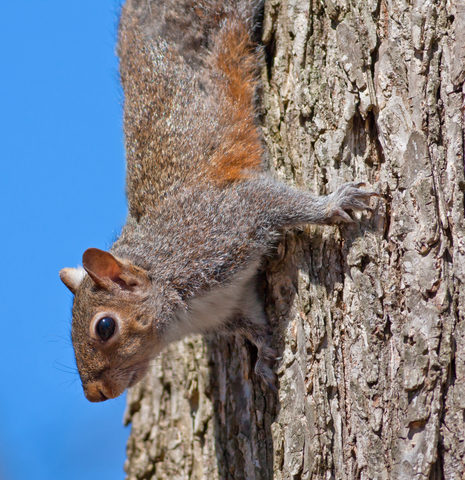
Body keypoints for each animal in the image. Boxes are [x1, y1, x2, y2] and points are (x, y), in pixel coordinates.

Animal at [59, 0, 376, 402]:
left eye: (104, 327)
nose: (94, 394)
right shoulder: (230, 304)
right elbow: (253, 324)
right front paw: (264, 359)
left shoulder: (225, 225)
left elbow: (276, 202)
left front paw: (334, 203)